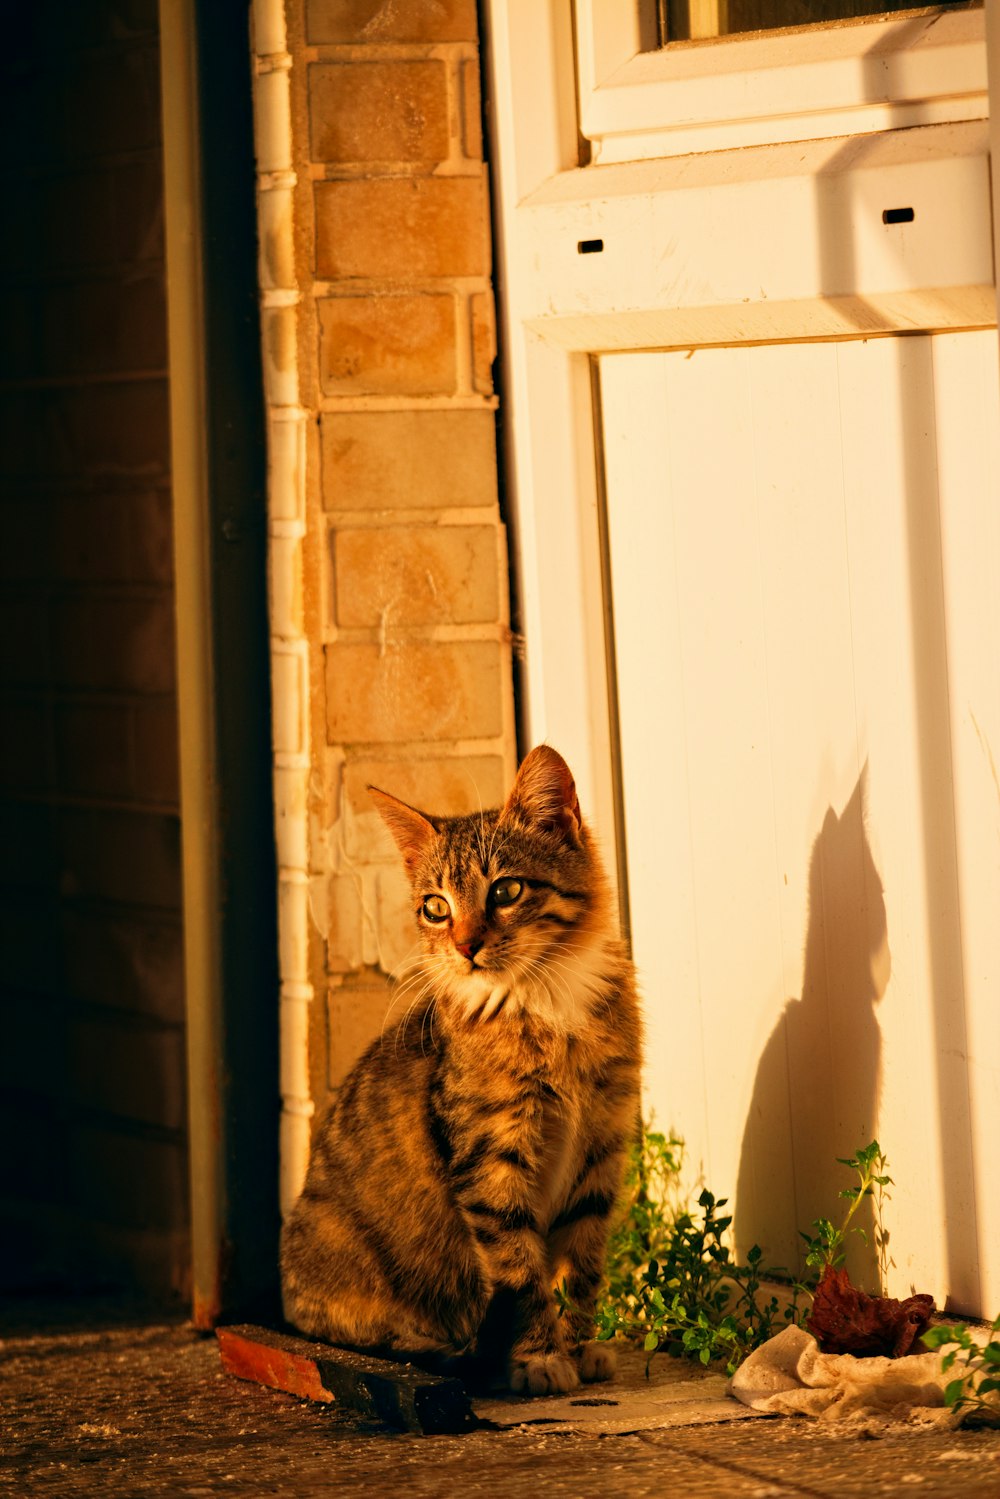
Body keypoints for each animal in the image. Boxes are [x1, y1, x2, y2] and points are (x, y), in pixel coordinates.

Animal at [280, 746, 641, 1391]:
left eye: (507, 890)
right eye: (435, 907)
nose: (465, 947)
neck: (544, 1002)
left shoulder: (601, 1144)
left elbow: (581, 1262)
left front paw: (579, 1346)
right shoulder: (490, 1158)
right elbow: (520, 1269)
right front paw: (540, 1357)